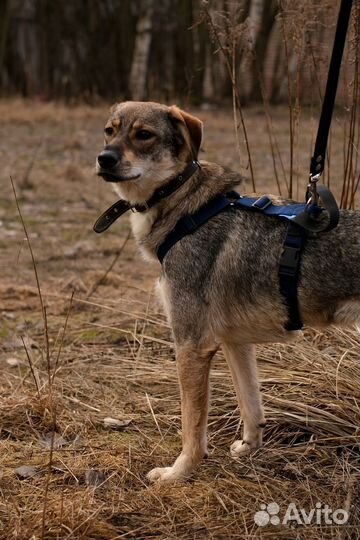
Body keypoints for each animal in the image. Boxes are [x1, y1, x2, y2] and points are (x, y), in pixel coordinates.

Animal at [95, 103, 360, 484]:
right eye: (109, 131)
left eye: (144, 135)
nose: (104, 159)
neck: (187, 211)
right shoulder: (235, 342)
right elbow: (251, 406)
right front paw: (249, 449)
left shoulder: (191, 345)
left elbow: (192, 427)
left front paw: (178, 473)